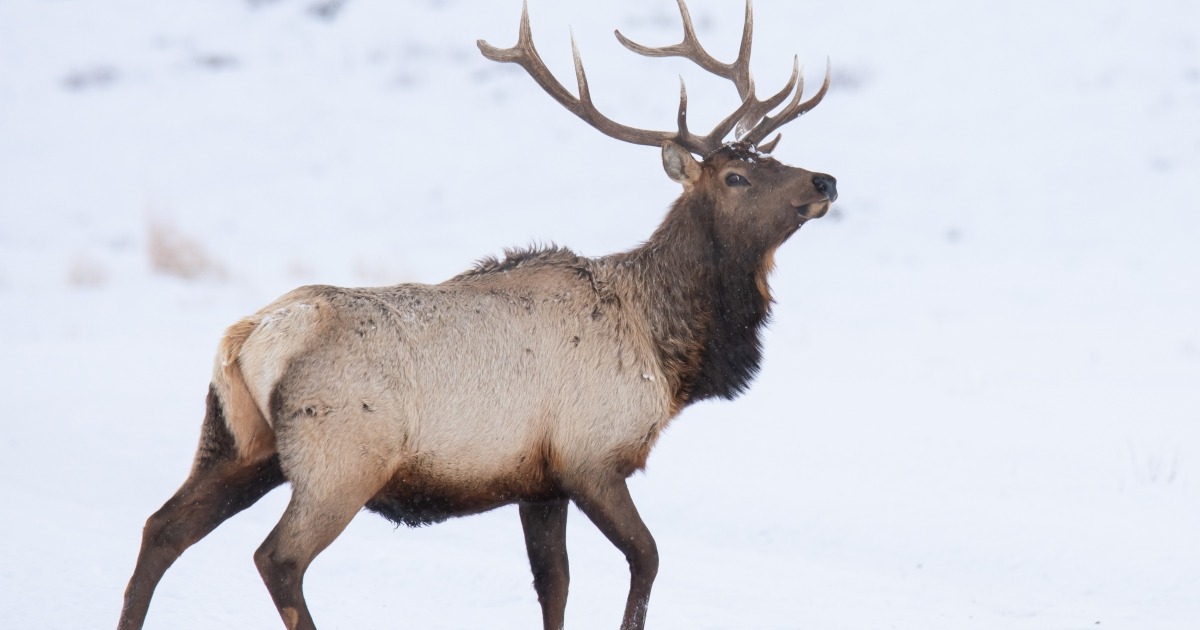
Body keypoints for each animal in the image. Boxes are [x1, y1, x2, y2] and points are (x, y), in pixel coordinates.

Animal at [117, 1, 837, 629]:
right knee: (278, 558)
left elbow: (554, 585)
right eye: (734, 178)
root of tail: (249, 336)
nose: (825, 180)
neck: (667, 351)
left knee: (162, 529)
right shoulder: (590, 454)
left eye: (772, 157)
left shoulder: (540, 481)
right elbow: (646, 559)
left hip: (238, 444)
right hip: (339, 458)